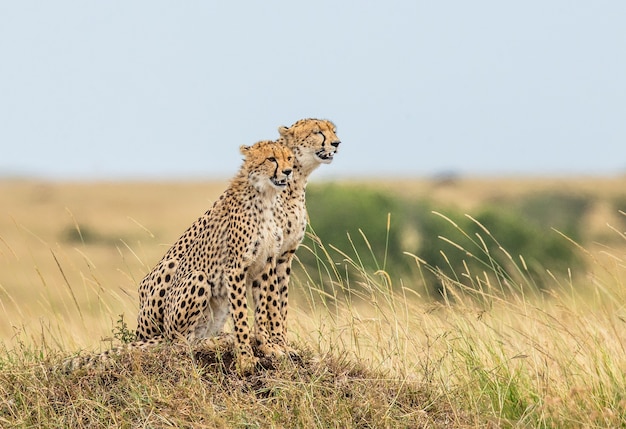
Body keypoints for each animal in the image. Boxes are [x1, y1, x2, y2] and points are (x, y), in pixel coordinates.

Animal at [69, 140, 294, 372]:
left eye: (289, 158)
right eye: (271, 159)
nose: (288, 172)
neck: (266, 197)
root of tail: (165, 333)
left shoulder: (266, 264)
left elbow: (264, 307)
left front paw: (268, 347)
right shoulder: (235, 268)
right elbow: (241, 314)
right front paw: (246, 358)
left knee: (197, 337)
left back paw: (220, 339)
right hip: (195, 279)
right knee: (182, 342)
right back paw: (219, 340)